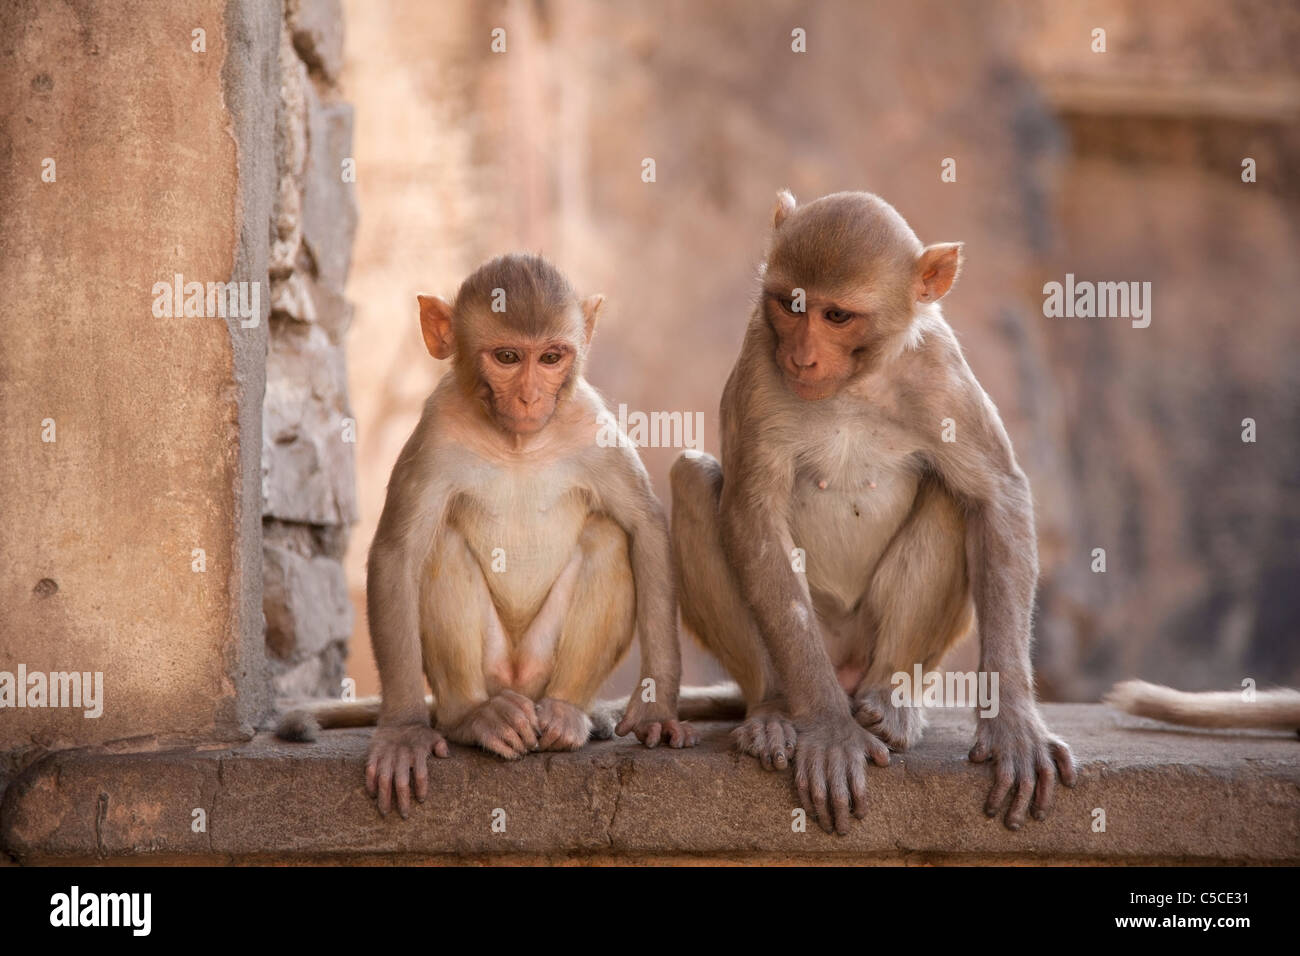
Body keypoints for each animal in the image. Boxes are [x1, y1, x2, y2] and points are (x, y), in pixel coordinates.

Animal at [278, 252, 696, 816]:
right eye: (506, 356)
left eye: (551, 357)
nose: (530, 397)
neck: (517, 442)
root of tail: (521, 687)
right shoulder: (436, 431)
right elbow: (397, 553)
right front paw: (404, 730)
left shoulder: (593, 426)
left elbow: (643, 525)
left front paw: (655, 711)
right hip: (495, 674)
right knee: (441, 548)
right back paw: (473, 719)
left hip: (539, 668)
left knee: (608, 539)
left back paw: (568, 712)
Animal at [665, 191, 1081, 832]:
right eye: (790, 305)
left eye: (837, 316)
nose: (801, 358)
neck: (856, 384)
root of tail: (846, 672)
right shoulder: (760, 359)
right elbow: (751, 512)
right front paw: (830, 733)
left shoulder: (939, 371)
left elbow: (995, 495)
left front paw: (1014, 724)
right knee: (691, 480)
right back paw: (776, 710)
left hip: (872, 647)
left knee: (949, 495)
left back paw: (890, 701)